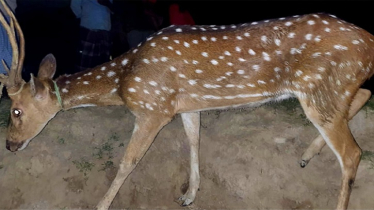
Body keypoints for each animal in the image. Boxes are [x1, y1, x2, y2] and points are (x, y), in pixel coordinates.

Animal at [0, 0, 374, 209]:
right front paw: (190, 195)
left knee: (352, 153)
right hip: (331, 90)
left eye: (16, 111)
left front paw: (100, 205)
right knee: (364, 96)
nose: (10, 145)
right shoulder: (186, 105)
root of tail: (369, 40)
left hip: (319, 89)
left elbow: (127, 161)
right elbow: (194, 141)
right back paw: (306, 156)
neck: (123, 80)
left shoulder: (153, 108)